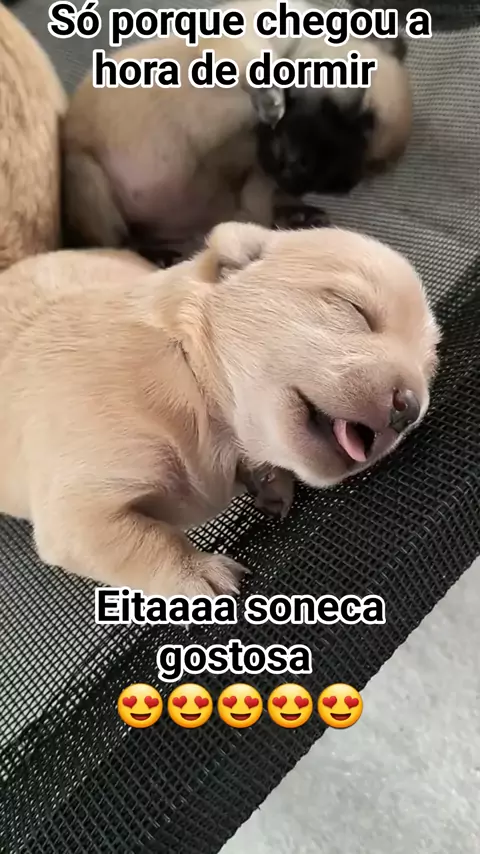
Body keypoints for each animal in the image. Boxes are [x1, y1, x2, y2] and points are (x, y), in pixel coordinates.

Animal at [0, 223, 439, 597]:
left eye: (427, 370)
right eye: (353, 308)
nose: (409, 409)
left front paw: (269, 482)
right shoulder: (78, 504)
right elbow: (140, 540)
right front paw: (198, 573)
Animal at [62, 0, 411, 264]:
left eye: (340, 185)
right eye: (353, 110)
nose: (299, 175)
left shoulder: (259, 174)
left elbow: (260, 194)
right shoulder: (236, 41)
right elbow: (252, 62)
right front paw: (269, 93)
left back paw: (293, 216)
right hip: (88, 181)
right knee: (118, 241)